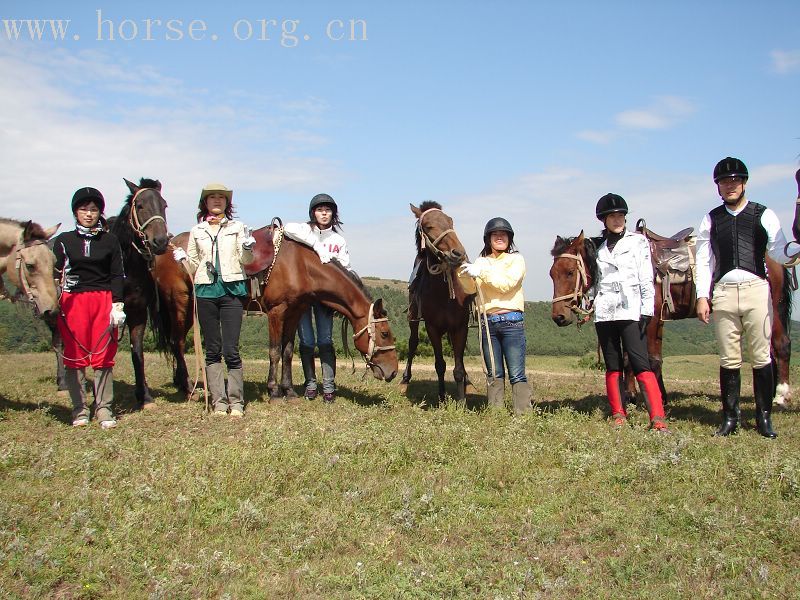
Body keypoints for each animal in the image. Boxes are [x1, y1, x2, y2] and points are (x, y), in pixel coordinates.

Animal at [109, 176, 173, 406]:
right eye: (140, 205)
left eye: (164, 205)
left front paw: (144, 395)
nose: (160, 241)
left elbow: (137, 353)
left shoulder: (137, 311)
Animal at [400, 202, 476, 404]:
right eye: (428, 226)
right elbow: (440, 364)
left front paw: (462, 400)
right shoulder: (432, 328)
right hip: (413, 320)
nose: (458, 253)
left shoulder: (460, 327)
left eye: (451, 221)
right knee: (413, 343)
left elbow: (459, 366)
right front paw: (442, 397)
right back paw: (404, 380)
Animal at [548, 232, 792, 406]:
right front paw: (632, 396)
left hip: (770, 309)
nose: (559, 316)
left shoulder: (652, 318)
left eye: (570, 272)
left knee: (781, 345)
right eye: (552, 274)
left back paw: (781, 396)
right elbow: (630, 358)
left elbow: (652, 359)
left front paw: (657, 399)